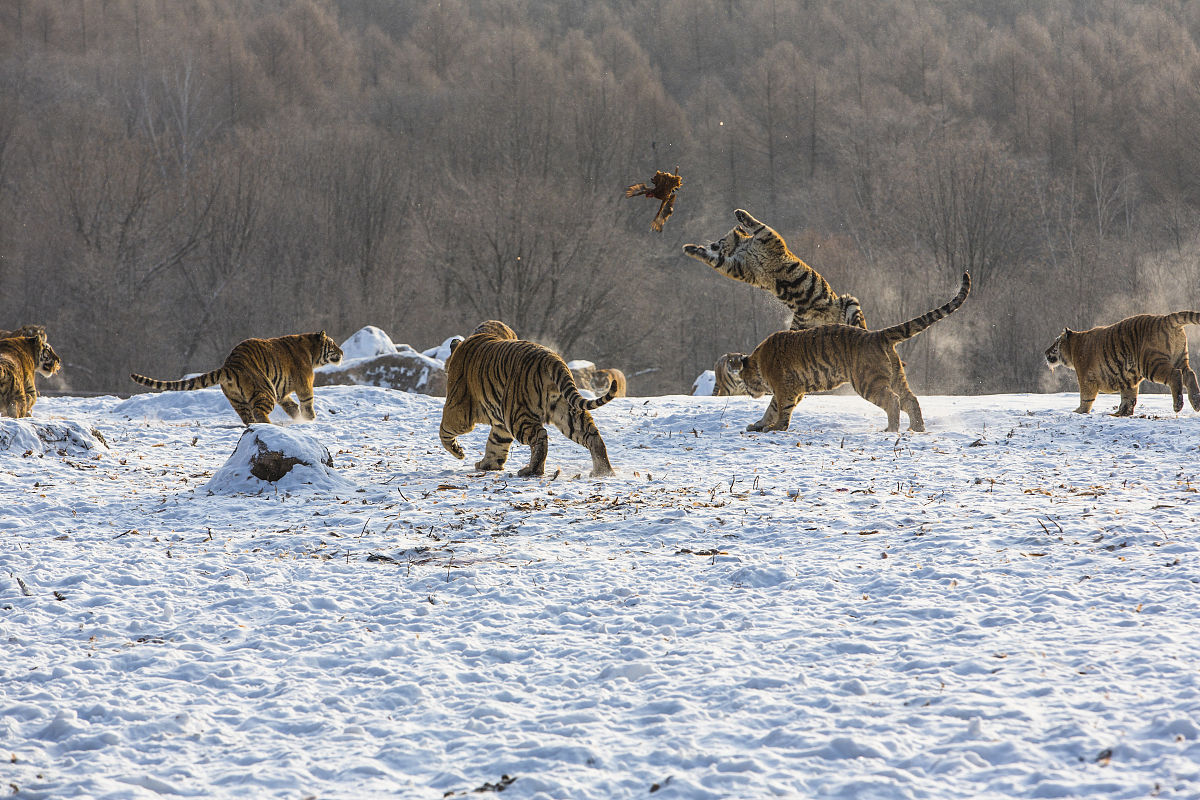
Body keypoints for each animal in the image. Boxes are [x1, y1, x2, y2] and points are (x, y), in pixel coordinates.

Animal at [130, 331, 343, 424]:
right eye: (333, 344)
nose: (342, 352)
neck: (312, 352)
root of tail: (230, 364)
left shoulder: (281, 390)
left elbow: (290, 404)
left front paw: (297, 416)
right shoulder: (304, 382)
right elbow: (308, 401)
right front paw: (309, 419)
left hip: (238, 400)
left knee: (248, 418)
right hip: (265, 390)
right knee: (259, 412)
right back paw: (270, 426)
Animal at [439, 319, 619, 479]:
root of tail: (552, 359)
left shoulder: (457, 407)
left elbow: (444, 430)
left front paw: (458, 452)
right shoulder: (501, 423)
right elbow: (496, 443)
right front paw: (487, 465)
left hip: (516, 415)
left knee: (540, 436)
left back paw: (531, 470)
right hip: (566, 410)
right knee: (592, 435)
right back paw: (603, 472)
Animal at [681, 209, 868, 331]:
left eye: (720, 239)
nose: (712, 243)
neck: (742, 247)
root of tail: (831, 321)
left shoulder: (767, 236)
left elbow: (756, 223)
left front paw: (739, 213)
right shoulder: (738, 268)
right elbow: (714, 260)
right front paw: (691, 249)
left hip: (849, 301)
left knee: (861, 326)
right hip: (799, 327)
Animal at [724, 273, 969, 434]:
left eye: (743, 378)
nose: (748, 392)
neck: (758, 360)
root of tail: (877, 335)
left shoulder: (785, 388)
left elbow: (781, 409)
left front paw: (775, 428)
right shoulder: (790, 389)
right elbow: (771, 408)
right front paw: (758, 424)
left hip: (867, 382)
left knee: (894, 400)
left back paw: (890, 429)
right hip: (896, 377)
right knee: (911, 400)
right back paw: (916, 429)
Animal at [1041, 311, 1200, 417]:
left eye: (1056, 342)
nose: (1045, 352)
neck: (1073, 347)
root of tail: (1165, 319)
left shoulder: (1086, 378)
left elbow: (1086, 398)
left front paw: (1079, 411)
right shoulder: (1129, 379)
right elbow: (1128, 399)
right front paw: (1121, 413)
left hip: (1151, 363)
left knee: (1175, 374)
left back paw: (1178, 405)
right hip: (1179, 357)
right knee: (1190, 374)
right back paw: (1196, 402)